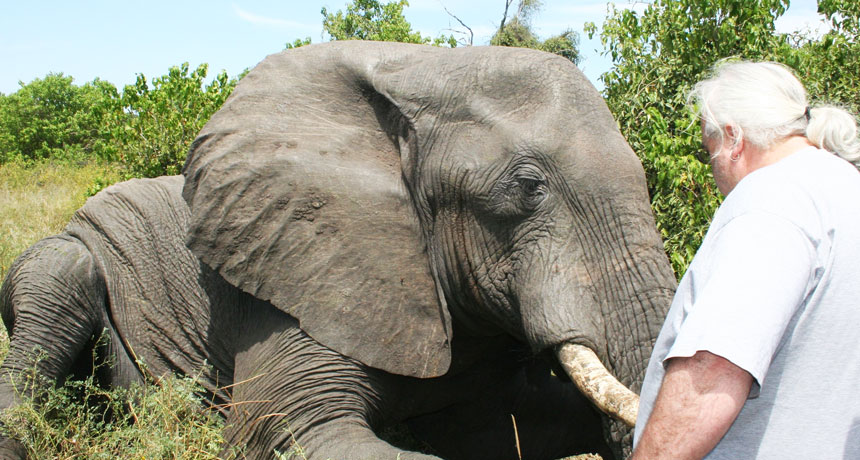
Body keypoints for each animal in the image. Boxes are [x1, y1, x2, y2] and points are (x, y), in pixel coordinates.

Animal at [0, 41, 676, 459]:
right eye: (528, 188)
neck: (419, 73)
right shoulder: (300, 277)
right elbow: (287, 426)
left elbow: (501, 426)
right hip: (73, 252)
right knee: (58, 283)